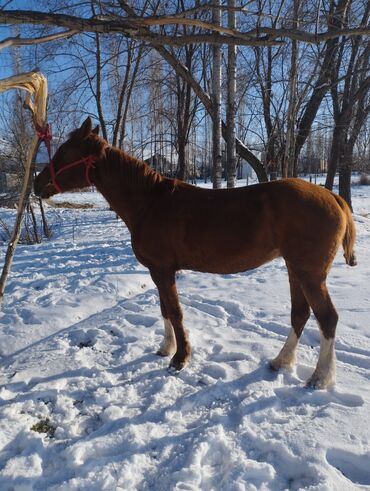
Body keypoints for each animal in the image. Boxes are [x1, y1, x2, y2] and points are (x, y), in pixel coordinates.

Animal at [34, 118, 356, 388]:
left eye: (65, 151)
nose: (38, 184)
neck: (149, 202)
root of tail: (333, 197)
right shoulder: (157, 272)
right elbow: (164, 309)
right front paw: (166, 348)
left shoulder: (163, 270)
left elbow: (175, 312)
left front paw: (180, 357)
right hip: (294, 269)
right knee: (300, 314)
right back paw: (281, 361)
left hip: (309, 274)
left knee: (327, 318)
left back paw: (320, 377)